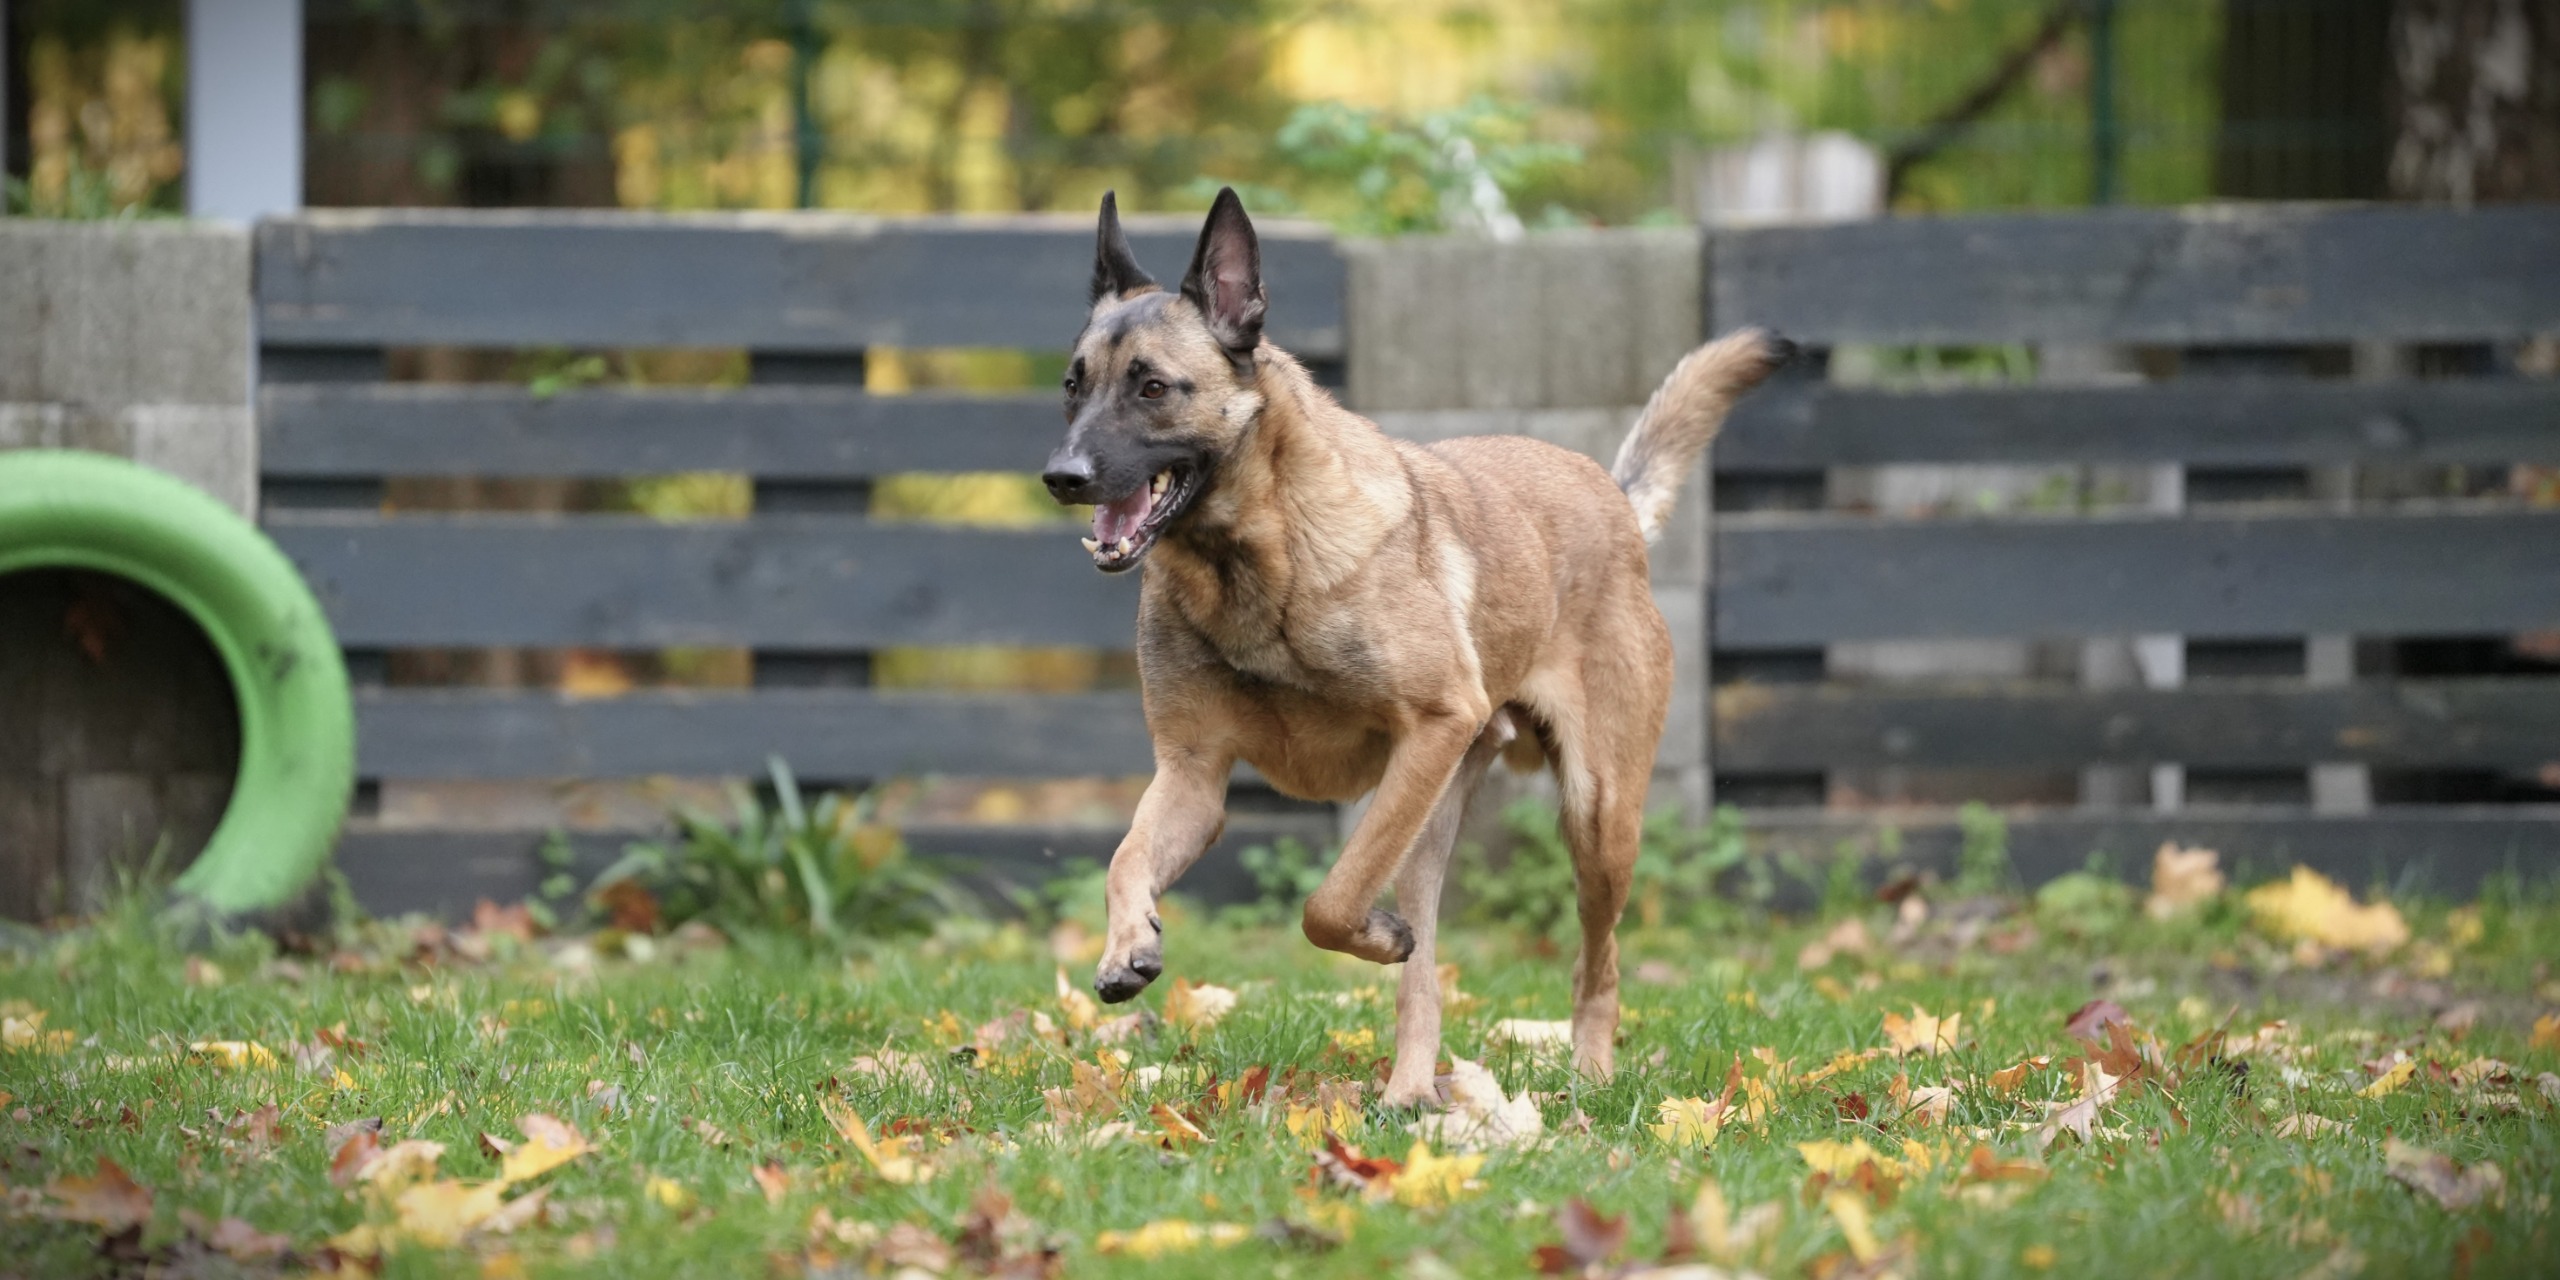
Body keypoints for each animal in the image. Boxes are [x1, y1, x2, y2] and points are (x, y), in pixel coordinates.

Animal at [1042, 188, 1785, 1106]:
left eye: (1151, 387)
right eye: (1073, 386)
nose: (1062, 477)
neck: (1258, 558)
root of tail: (1613, 496)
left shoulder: (1433, 727)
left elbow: (1329, 901)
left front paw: (1373, 934)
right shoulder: (1192, 776)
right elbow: (1125, 858)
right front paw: (1128, 944)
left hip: (1595, 817)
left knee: (1595, 965)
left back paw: (1584, 1075)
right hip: (1434, 823)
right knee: (1426, 979)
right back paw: (1409, 1093)